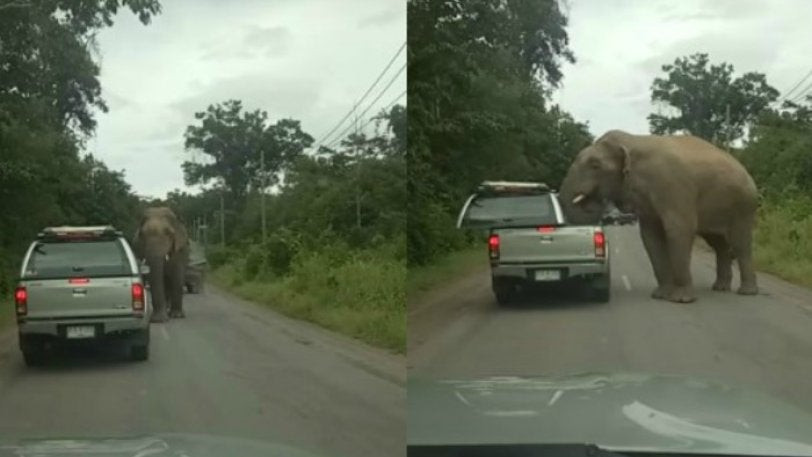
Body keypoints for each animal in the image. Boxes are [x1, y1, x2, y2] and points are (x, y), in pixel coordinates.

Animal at [560, 129, 760, 302]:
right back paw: (720, 288)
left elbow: (679, 230)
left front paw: (682, 300)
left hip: (743, 206)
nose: (600, 204)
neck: (632, 141)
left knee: (740, 244)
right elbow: (650, 237)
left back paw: (747, 292)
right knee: (719, 245)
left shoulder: (674, 185)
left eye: (595, 165)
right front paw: (660, 296)